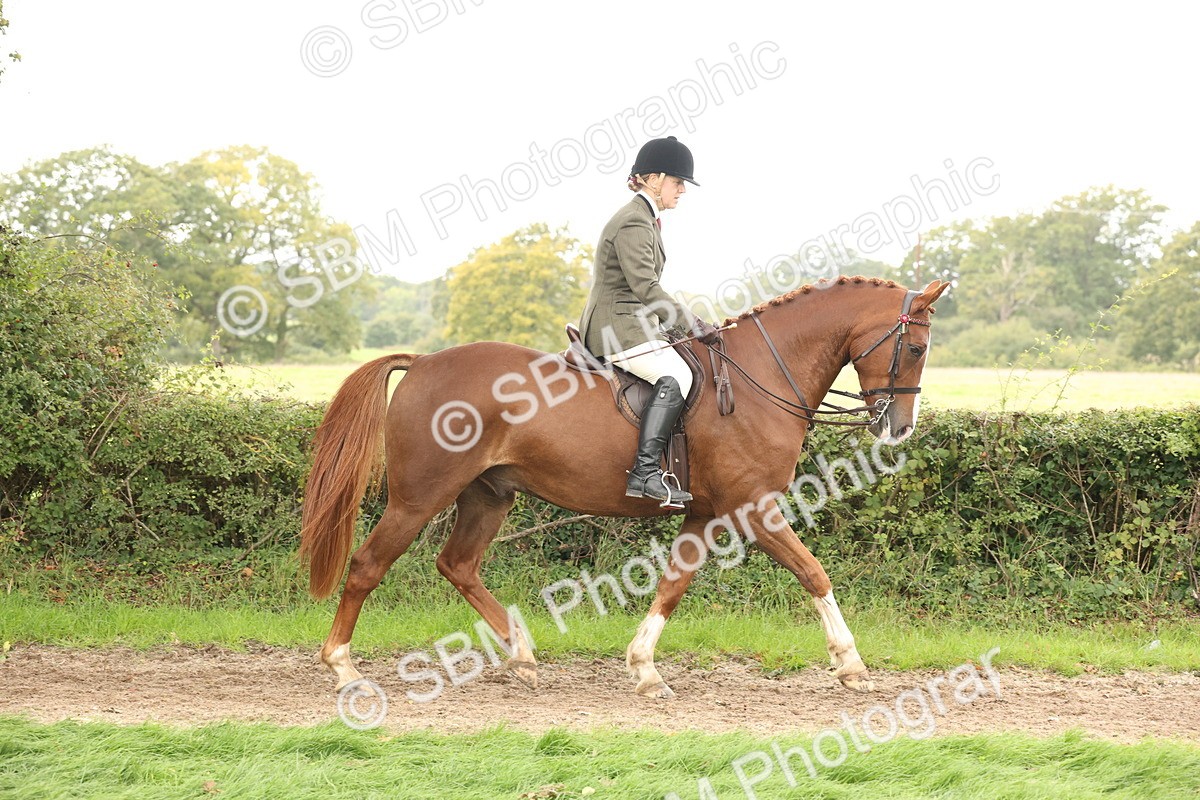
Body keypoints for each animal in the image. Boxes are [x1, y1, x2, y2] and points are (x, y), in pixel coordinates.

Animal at [299, 276, 951, 699]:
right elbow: (814, 572)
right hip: (419, 498)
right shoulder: (754, 508)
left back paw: (523, 657)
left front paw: (643, 667)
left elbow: (673, 584)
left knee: (457, 565)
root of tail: (424, 362)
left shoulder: (707, 513)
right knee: (368, 565)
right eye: (917, 347)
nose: (900, 427)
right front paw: (852, 663)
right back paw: (343, 667)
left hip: (489, 494)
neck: (759, 378)